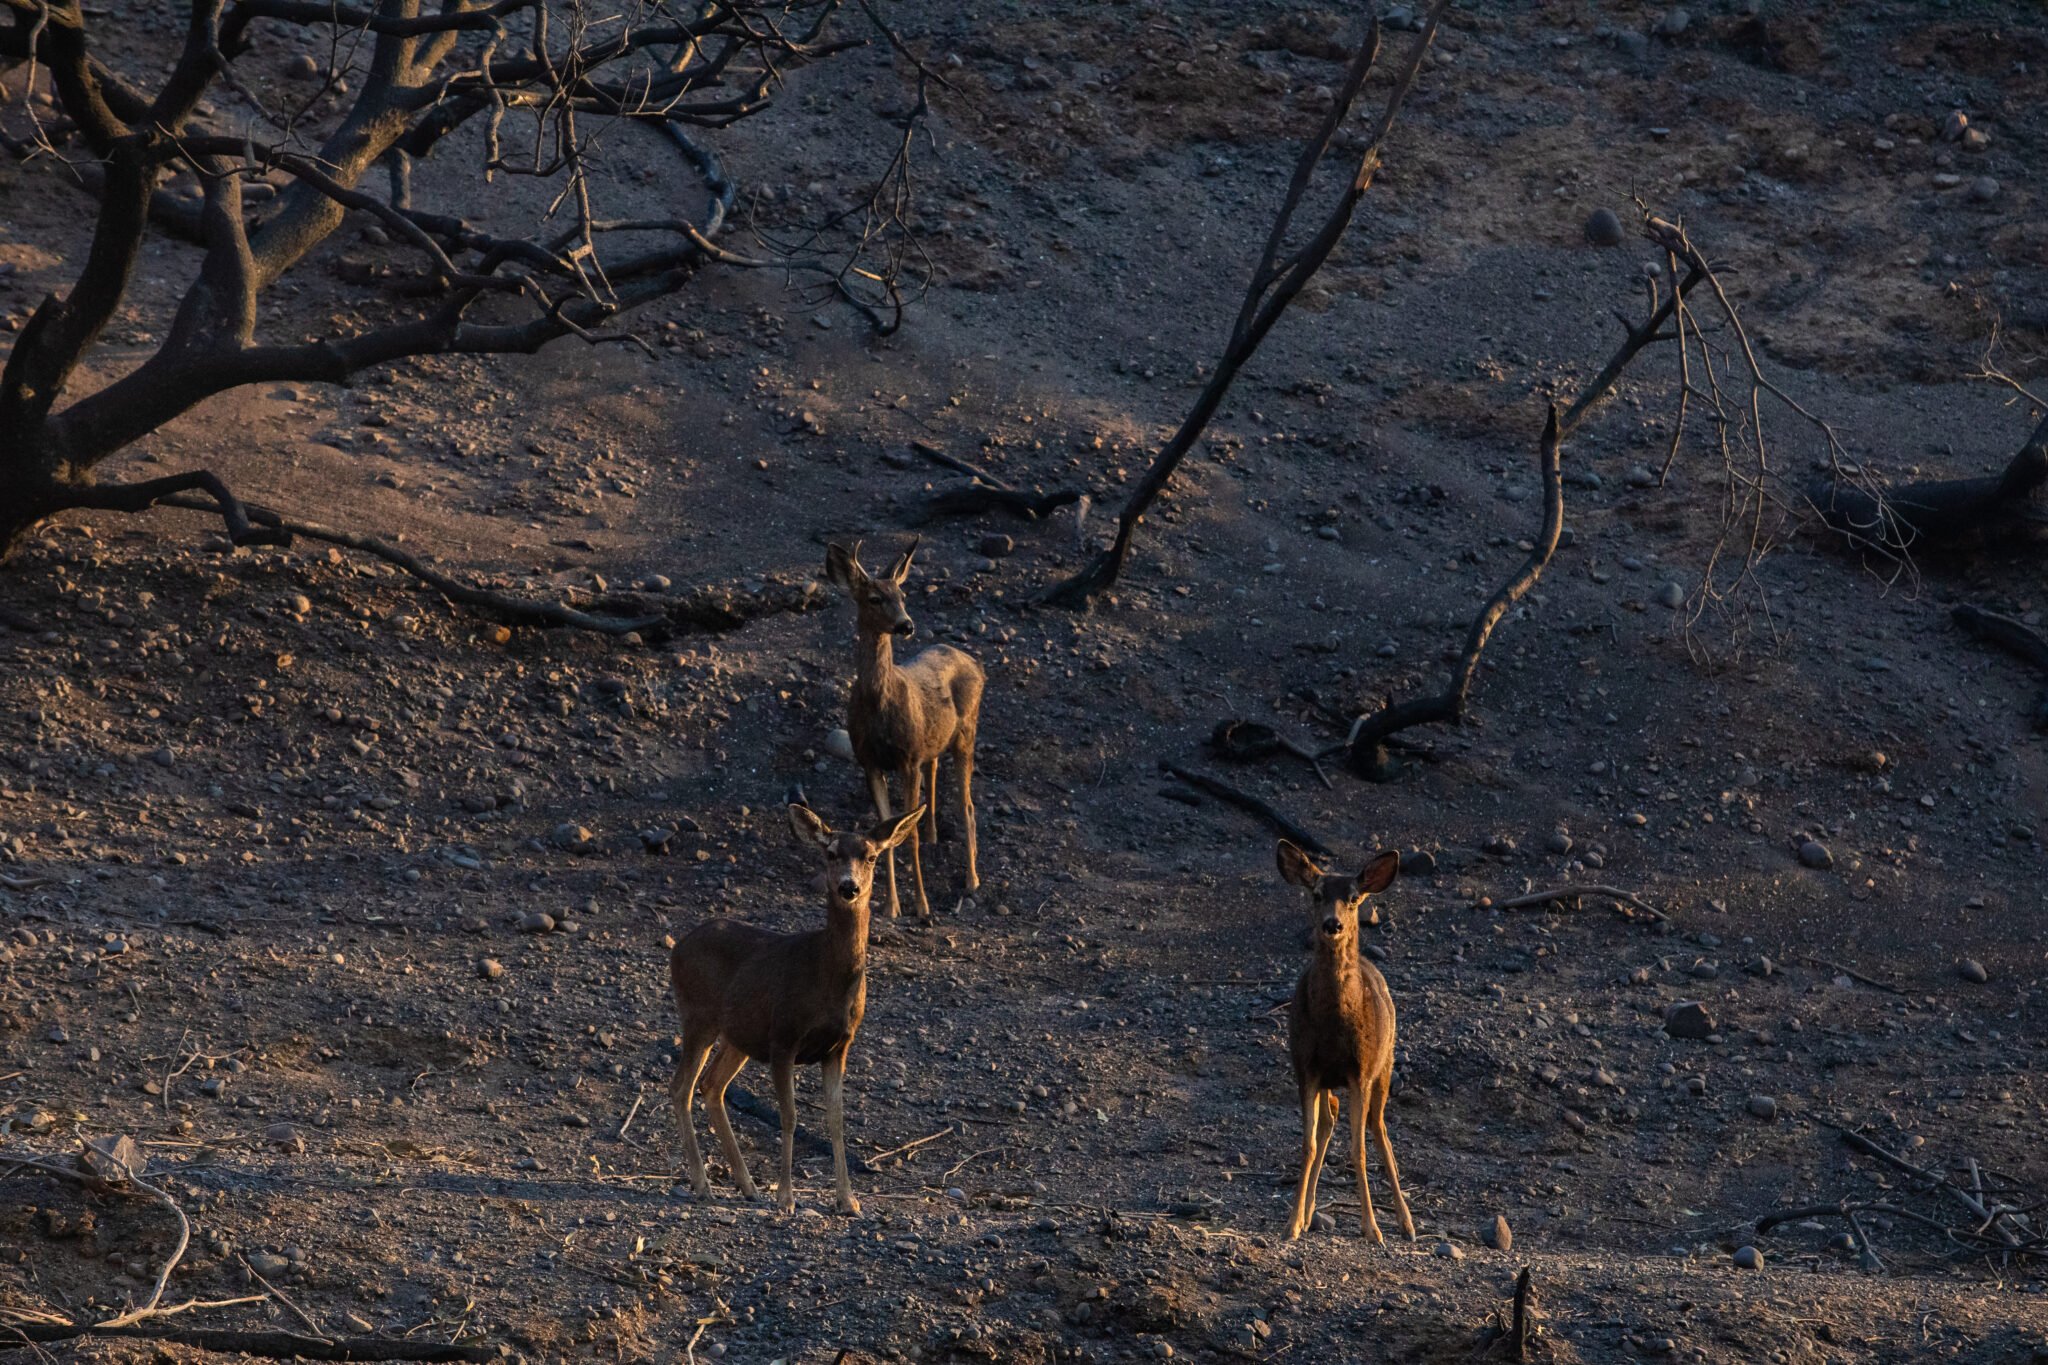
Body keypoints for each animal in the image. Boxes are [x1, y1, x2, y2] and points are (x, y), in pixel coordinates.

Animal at [667, 802, 925, 1219]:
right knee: (681, 1087)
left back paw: (748, 1186)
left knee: (712, 1085)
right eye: (830, 853)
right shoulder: (784, 1037)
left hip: (739, 1034)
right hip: (698, 1015)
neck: (827, 979)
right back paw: (704, 1184)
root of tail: (677, 947)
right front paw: (787, 1197)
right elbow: (789, 1117)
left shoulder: (839, 1046)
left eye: (871, 856)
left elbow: (836, 1120)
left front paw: (848, 1200)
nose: (849, 887)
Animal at [823, 536, 983, 916]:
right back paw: (935, 835)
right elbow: (886, 835)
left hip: (967, 733)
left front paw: (922, 906)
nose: (906, 625)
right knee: (935, 770)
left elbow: (906, 834)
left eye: (903, 595)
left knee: (968, 805)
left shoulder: (907, 759)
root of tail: (975, 663)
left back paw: (972, 880)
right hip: (934, 741)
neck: (879, 704)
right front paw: (891, 906)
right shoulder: (870, 762)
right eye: (874, 598)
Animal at [1269, 839, 1417, 1244]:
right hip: (1329, 1081)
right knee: (1329, 1119)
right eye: (1316, 894)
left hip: (1385, 1064)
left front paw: (1372, 1227)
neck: (1334, 1024)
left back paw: (1406, 1222)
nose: (1332, 924)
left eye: (1353, 898)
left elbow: (1358, 1150)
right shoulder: (1306, 1068)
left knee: (1379, 1129)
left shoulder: (1360, 1071)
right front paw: (1291, 1222)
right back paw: (1308, 1212)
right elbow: (1307, 1144)